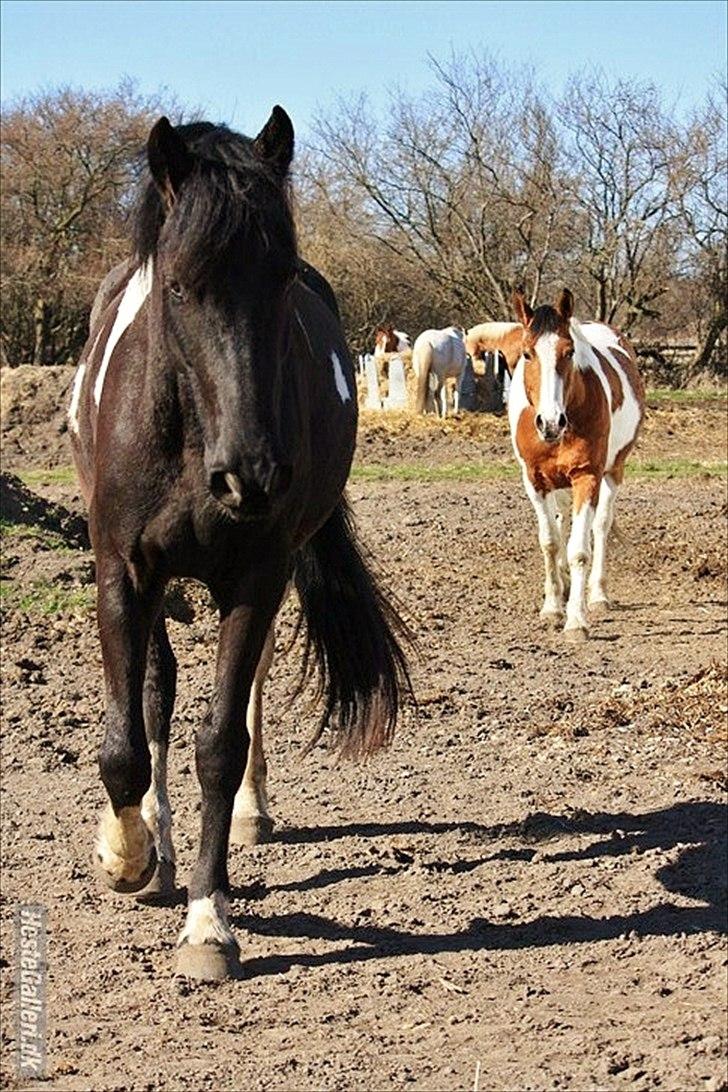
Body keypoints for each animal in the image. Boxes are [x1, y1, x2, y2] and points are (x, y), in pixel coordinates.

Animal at [67, 108, 410, 982]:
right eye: (179, 286)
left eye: (281, 280)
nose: (251, 474)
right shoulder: (123, 571)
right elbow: (124, 740)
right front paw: (126, 854)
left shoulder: (256, 575)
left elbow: (222, 742)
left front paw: (208, 923)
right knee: (154, 691)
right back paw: (150, 845)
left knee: (244, 695)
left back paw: (250, 815)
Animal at [510, 288, 646, 637]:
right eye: (527, 353)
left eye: (569, 351)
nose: (550, 422)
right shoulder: (534, 481)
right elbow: (550, 543)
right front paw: (552, 606)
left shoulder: (587, 476)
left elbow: (580, 550)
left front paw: (575, 621)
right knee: (561, 522)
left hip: (612, 472)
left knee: (600, 527)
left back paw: (596, 595)